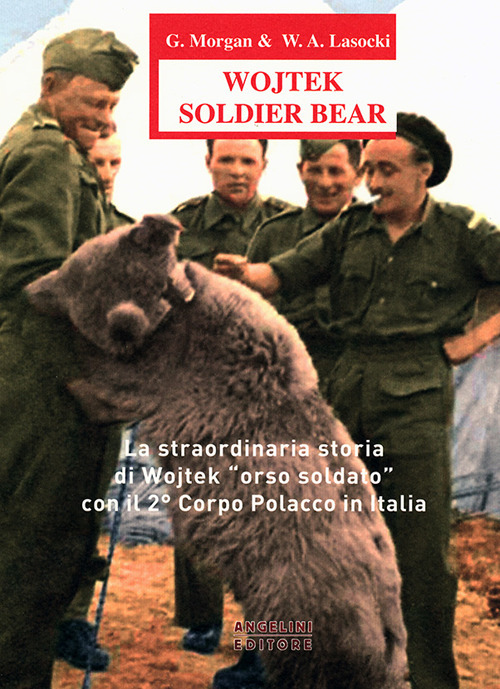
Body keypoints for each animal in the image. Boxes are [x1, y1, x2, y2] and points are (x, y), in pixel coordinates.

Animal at [26, 214, 408, 689]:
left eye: (71, 269)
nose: (30, 289)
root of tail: (390, 645)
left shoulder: (164, 376)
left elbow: (109, 382)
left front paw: (76, 380)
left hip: (311, 613)